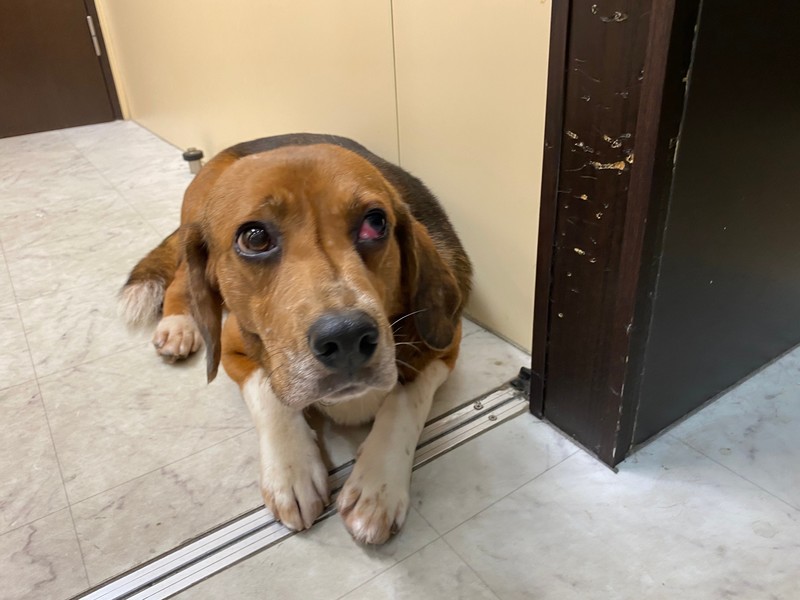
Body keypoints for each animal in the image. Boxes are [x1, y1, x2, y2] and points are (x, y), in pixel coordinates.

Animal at [119, 134, 471, 544]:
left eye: (375, 223)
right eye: (255, 237)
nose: (347, 337)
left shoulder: (446, 346)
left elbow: (404, 398)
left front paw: (377, 486)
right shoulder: (233, 348)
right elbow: (271, 394)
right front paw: (292, 472)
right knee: (181, 278)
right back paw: (178, 324)